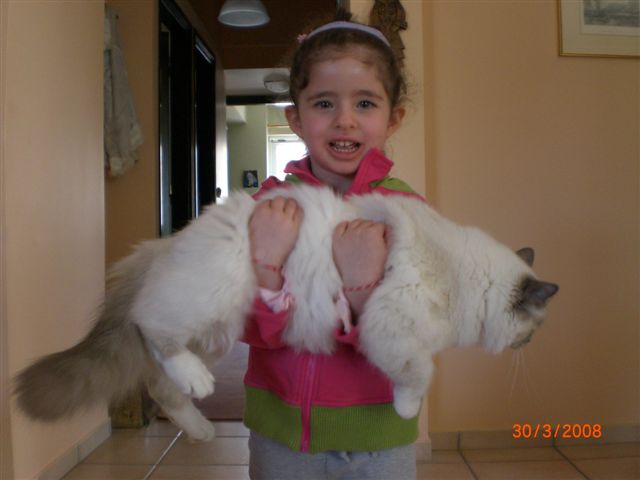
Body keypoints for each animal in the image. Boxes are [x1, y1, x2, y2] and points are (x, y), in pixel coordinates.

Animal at [14, 185, 558, 441]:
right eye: (531, 332)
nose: (530, 346)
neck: (458, 277)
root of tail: (169, 241)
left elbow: (418, 371)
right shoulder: (393, 328)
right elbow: (419, 375)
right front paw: (408, 409)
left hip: (218, 332)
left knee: (162, 385)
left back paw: (201, 426)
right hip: (209, 300)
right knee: (150, 329)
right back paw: (198, 394)